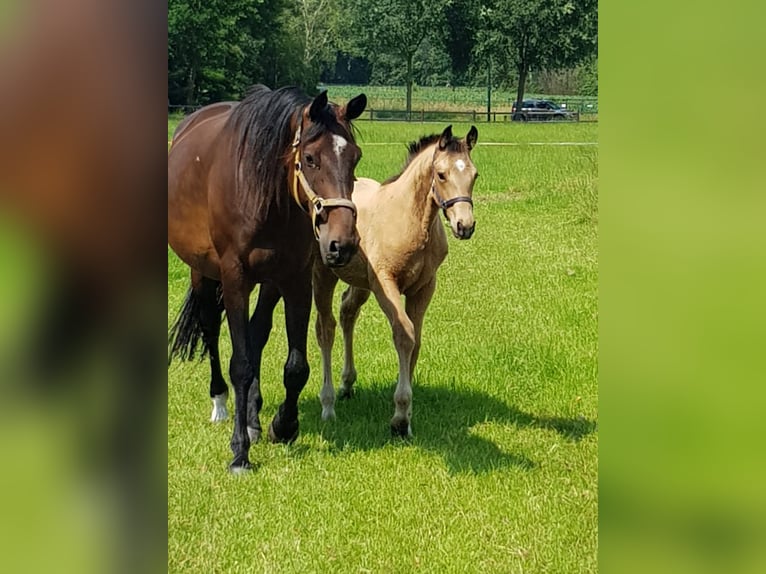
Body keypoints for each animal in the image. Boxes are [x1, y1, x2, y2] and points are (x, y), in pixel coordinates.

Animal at [167, 85, 368, 472]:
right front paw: (239, 452)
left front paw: (282, 426)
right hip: (203, 273)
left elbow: (295, 366)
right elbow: (241, 364)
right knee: (211, 329)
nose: (343, 243)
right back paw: (221, 404)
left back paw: (253, 419)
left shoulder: (295, 280)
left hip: (270, 283)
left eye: (355, 157)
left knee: (257, 333)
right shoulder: (235, 278)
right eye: (310, 158)